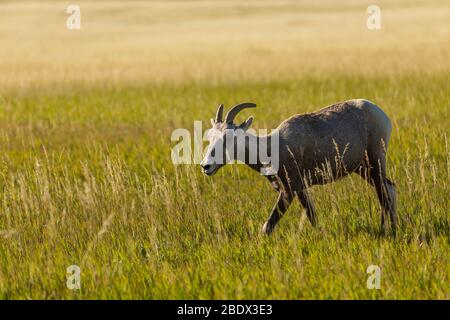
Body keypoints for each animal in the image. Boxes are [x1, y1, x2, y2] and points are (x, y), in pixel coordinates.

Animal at [201, 100, 398, 235]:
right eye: (211, 136)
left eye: (229, 137)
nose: (206, 166)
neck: (273, 145)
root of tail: (381, 115)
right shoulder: (301, 189)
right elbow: (312, 216)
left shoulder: (289, 190)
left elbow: (267, 226)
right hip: (363, 169)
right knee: (389, 188)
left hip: (375, 163)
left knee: (384, 195)